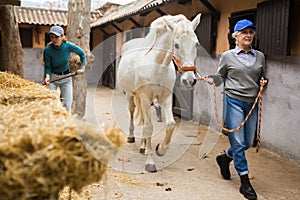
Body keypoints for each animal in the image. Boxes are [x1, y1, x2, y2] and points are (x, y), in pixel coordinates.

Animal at [117, 13, 202, 172]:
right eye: (176, 44)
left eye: (196, 44)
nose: (189, 81)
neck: (157, 65)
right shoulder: (144, 96)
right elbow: (149, 127)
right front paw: (150, 162)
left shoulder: (165, 97)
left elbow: (170, 125)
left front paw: (160, 149)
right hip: (131, 95)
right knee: (132, 112)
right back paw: (131, 137)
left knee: (144, 120)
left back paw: (143, 146)